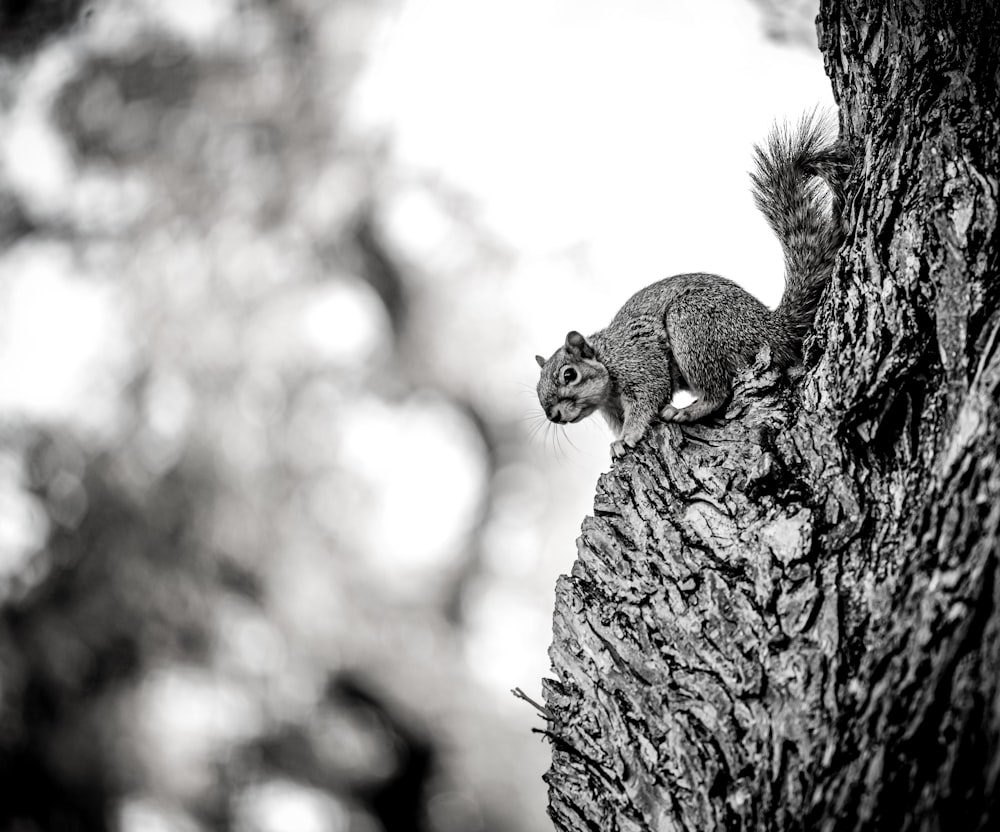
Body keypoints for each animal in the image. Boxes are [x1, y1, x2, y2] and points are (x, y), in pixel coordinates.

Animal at [536, 114, 848, 458]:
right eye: (538, 390)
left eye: (569, 374)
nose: (553, 415)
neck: (607, 360)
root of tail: (773, 329)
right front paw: (617, 443)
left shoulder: (639, 362)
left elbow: (648, 398)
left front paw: (628, 437)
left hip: (694, 325)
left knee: (718, 391)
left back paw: (686, 411)